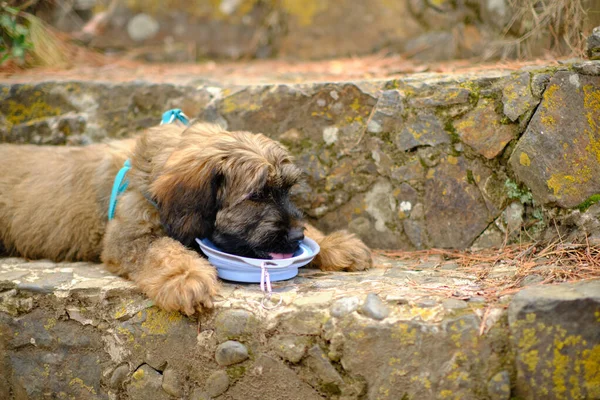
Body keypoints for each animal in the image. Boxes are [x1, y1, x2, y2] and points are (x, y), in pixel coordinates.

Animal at [0, 122, 372, 312]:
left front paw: (334, 243)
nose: (296, 238)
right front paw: (186, 277)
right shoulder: (130, 237)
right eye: (256, 196)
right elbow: (163, 251)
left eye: (287, 190)